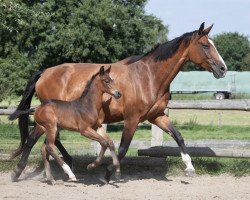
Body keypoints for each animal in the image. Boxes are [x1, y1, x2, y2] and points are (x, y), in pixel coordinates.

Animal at [9, 22, 228, 182]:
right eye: (205, 45)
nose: (223, 68)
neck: (148, 77)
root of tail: (44, 72)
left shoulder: (156, 116)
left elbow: (179, 137)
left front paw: (189, 167)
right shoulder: (132, 118)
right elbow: (122, 148)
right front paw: (108, 173)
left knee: (46, 141)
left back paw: (59, 166)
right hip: (49, 119)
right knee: (35, 140)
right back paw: (20, 171)